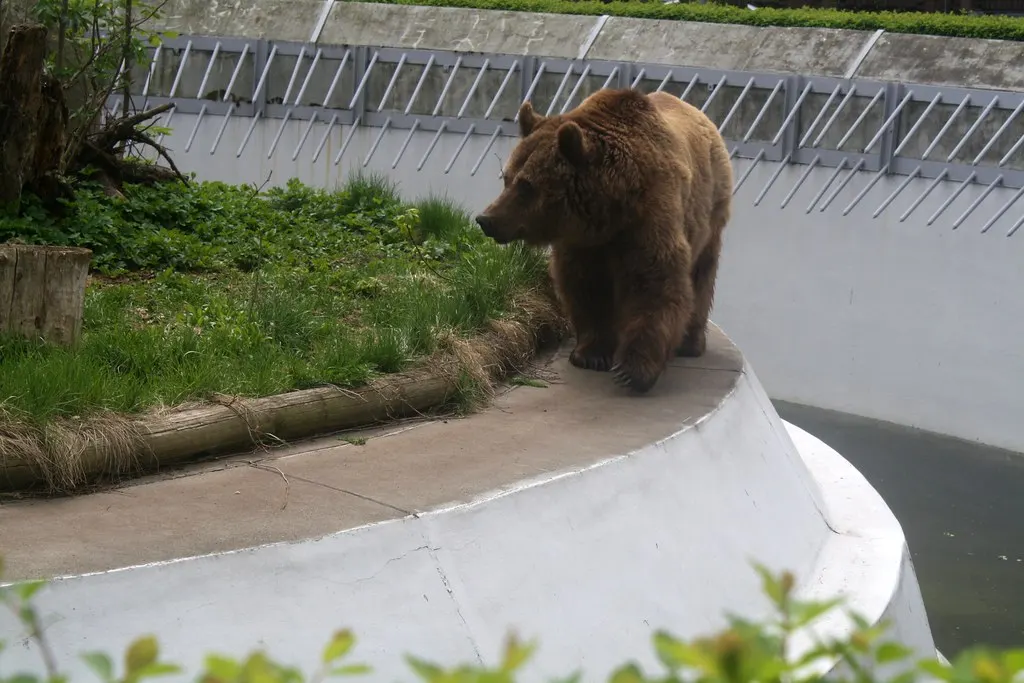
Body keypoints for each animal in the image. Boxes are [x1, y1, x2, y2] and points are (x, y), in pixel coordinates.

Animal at [474, 87, 733, 394]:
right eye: (507, 177)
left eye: (527, 185)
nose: (486, 219)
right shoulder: (584, 244)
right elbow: (586, 286)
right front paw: (592, 354)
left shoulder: (648, 217)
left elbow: (655, 283)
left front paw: (633, 370)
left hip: (711, 211)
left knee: (702, 274)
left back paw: (690, 343)